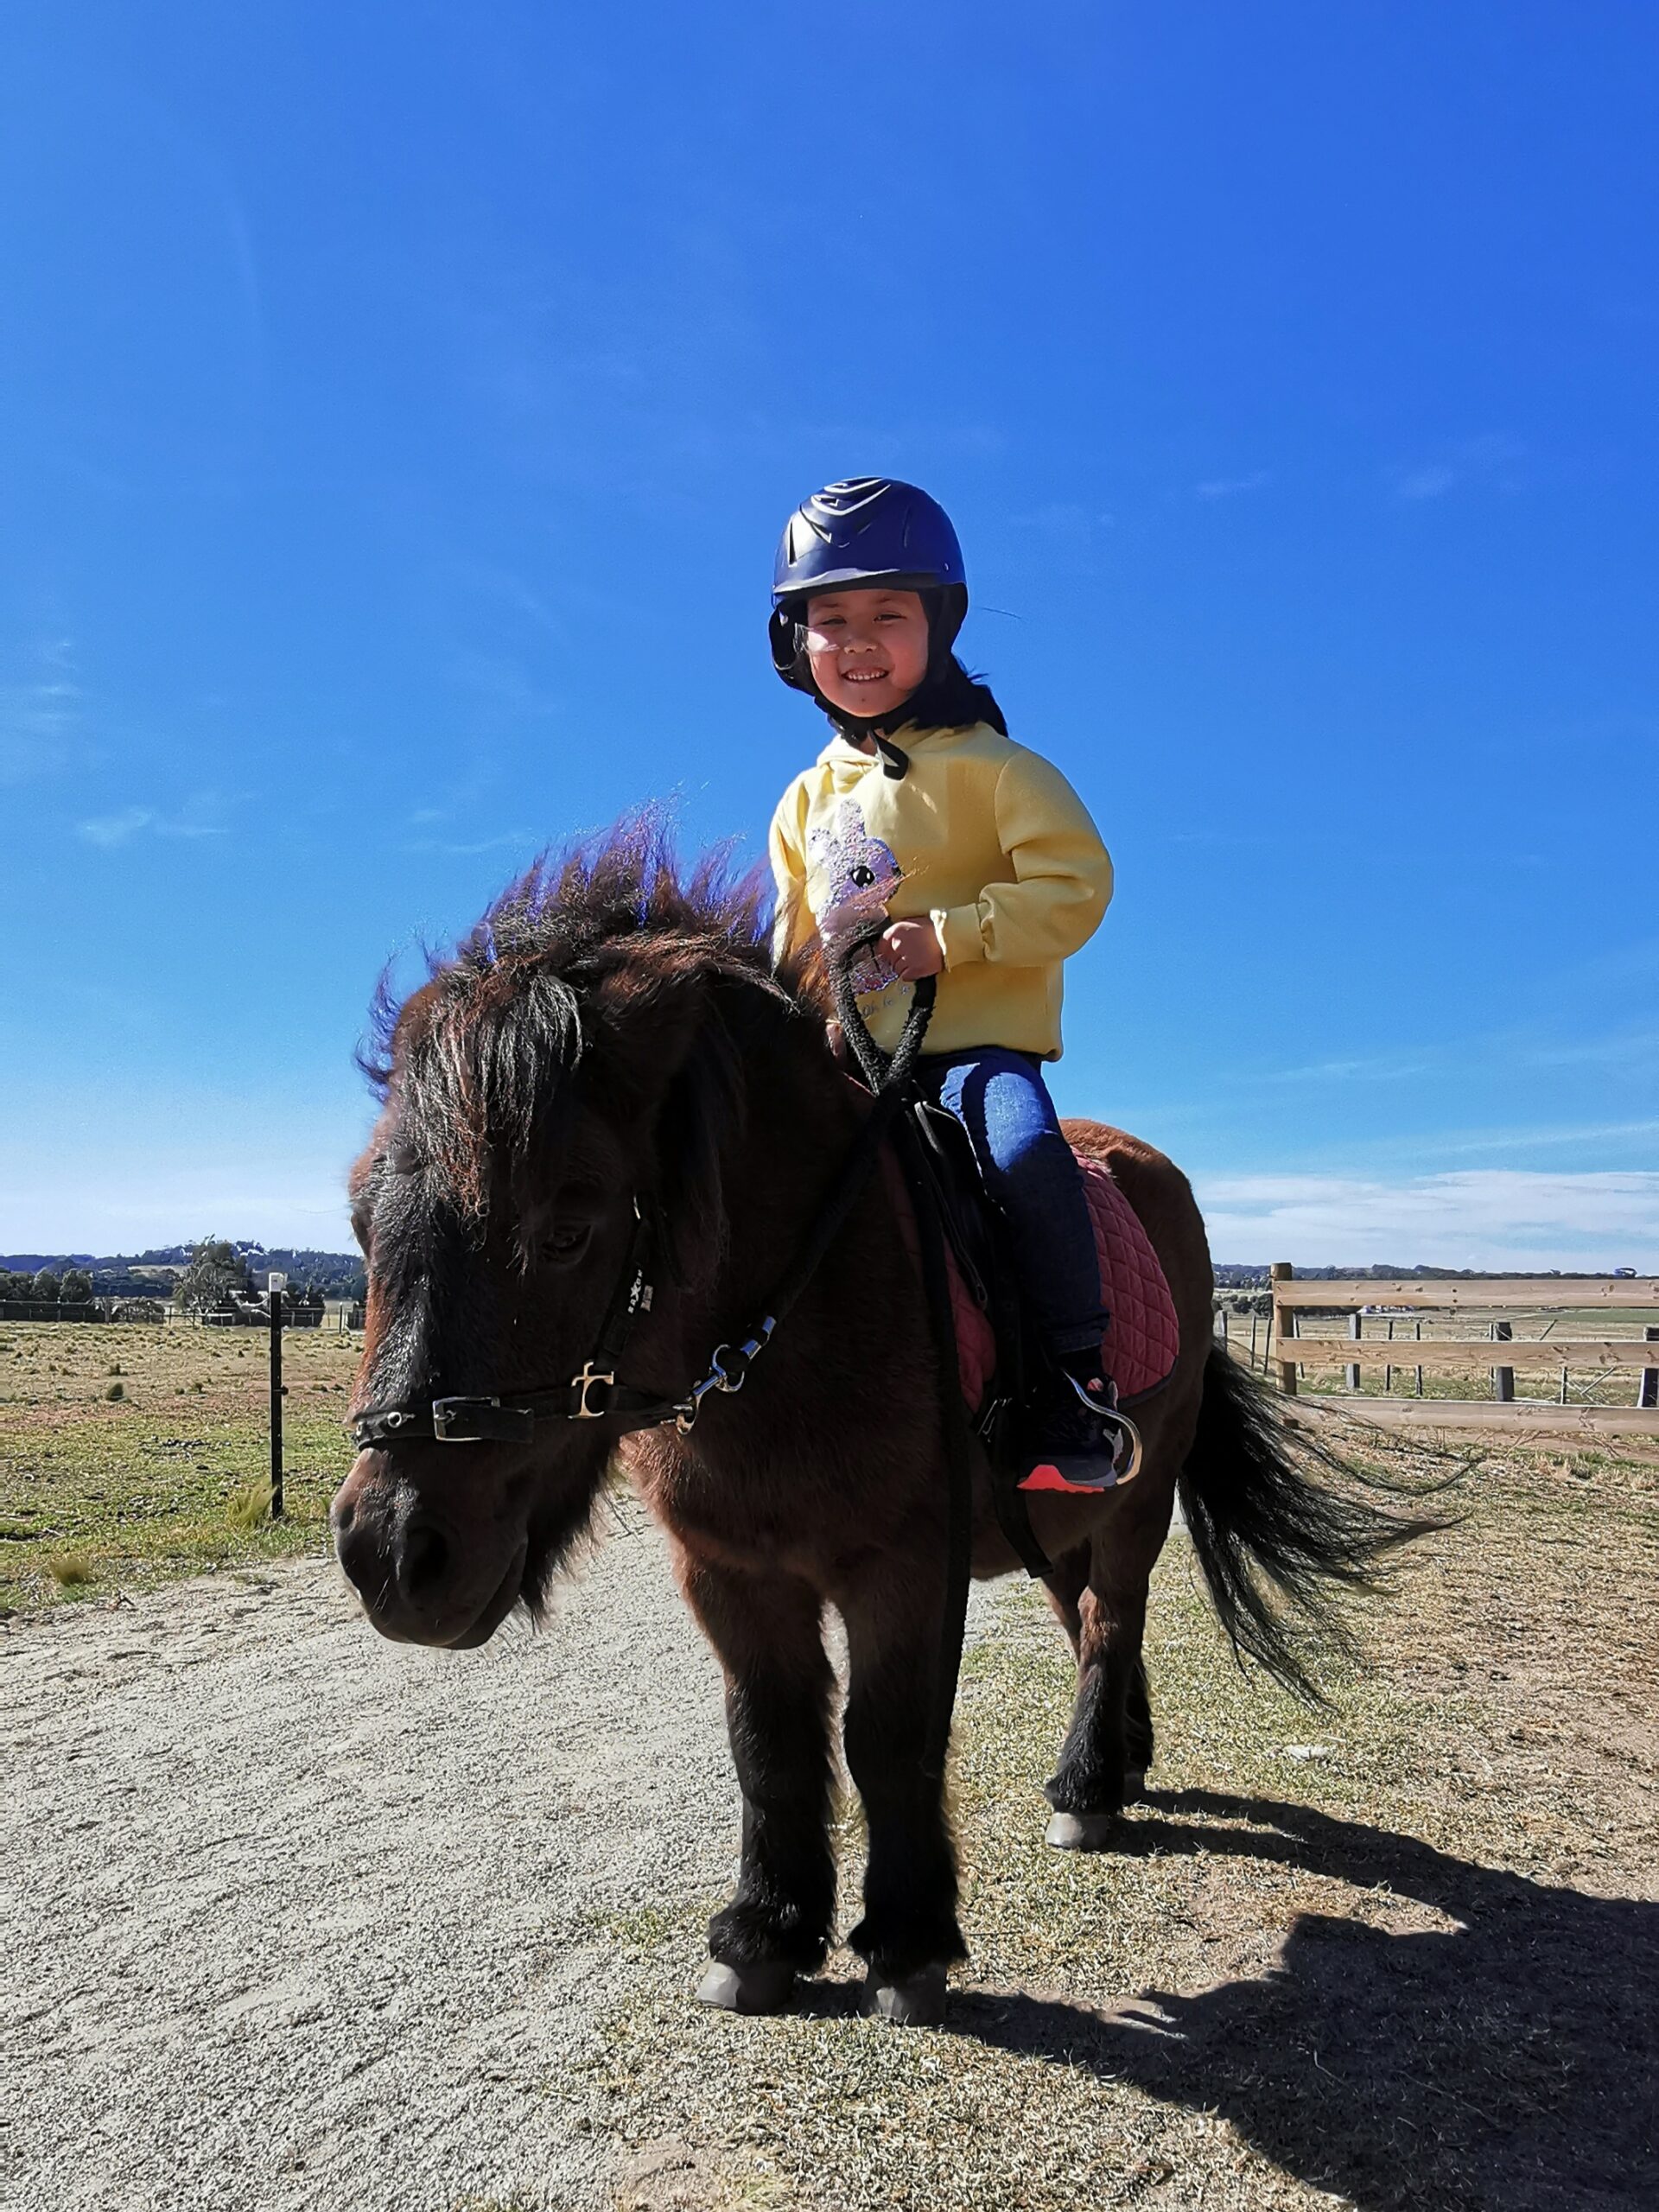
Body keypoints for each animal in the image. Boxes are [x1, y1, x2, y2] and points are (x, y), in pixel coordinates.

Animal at [334, 827, 1415, 2025]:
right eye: (360, 1218)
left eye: (568, 1225)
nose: (394, 1554)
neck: (791, 1320)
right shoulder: (728, 1571)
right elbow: (769, 1736)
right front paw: (766, 1927)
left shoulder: (904, 1566)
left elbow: (887, 1738)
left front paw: (904, 1940)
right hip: (1057, 1523)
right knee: (1088, 1616)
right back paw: (1121, 1762)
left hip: (1141, 1491)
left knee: (1111, 1618)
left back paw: (1087, 1784)